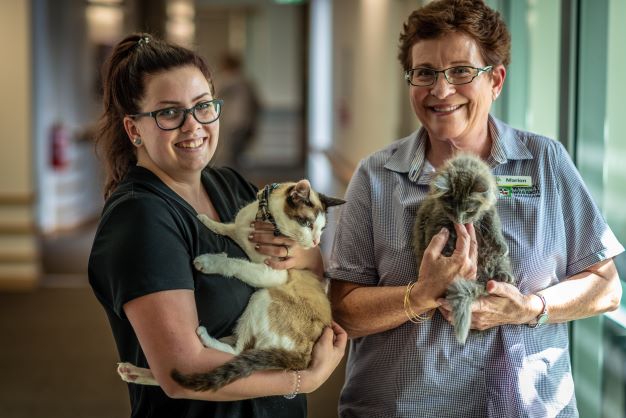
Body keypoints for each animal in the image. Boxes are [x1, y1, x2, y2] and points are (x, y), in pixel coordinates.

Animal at [116, 180, 342, 392]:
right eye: (306, 223)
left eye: (322, 229)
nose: (315, 242)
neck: (263, 218)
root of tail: (304, 356)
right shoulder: (239, 228)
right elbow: (228, 227)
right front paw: (207, 221)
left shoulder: (276, 273)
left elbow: (236, 264)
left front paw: (210, 261)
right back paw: (135, 372)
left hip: (264, 296)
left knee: (238, 353)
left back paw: (203, 338)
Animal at [412, 153, 510, 342]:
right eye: (451, 207)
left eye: (469, 210)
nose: (459, 220)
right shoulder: (437, 220)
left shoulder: (489, 210)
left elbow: (493, 224)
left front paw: (501, 244)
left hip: (493, 259)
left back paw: (504, 276)